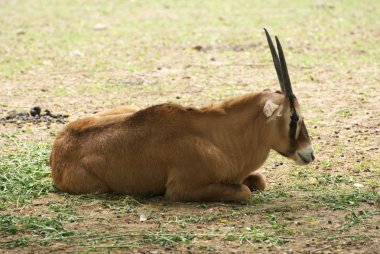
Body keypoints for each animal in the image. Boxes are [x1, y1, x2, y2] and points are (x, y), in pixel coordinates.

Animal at [49, 28, 314, 201]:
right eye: (294, 117)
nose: (309, 153)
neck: (219, 138)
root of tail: (59, 146)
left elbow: (259, 180)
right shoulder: (182, 189)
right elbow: (245, 192)